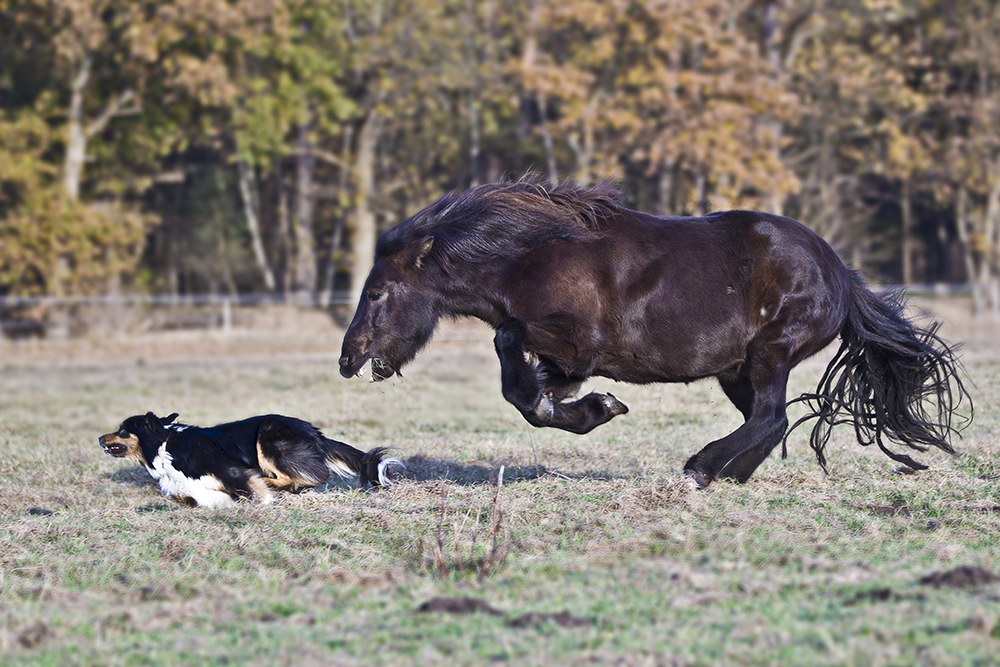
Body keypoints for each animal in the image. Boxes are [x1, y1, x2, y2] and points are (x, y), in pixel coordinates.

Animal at [99, 410, 400, 508]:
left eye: (123, 430)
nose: (100, 438)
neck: (164, 444)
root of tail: (315, 432)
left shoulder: (231, 471)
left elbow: (251, 491)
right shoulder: (185, 488)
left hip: (266, 434)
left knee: (310, 475)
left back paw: (271, 481)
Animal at [338, 180, 968, 488]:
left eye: (377, 292)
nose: (348, 360)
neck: (531, 255)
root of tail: (841, 274)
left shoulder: (578, 343)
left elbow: (511, 357)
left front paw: (598, 407)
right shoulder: (564, 360)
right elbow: (531, 396)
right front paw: (593, 408)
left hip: (772, 352)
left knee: (770, 417)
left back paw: (701, 470)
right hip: (737, 369)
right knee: (765, 421)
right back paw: (727, 475)